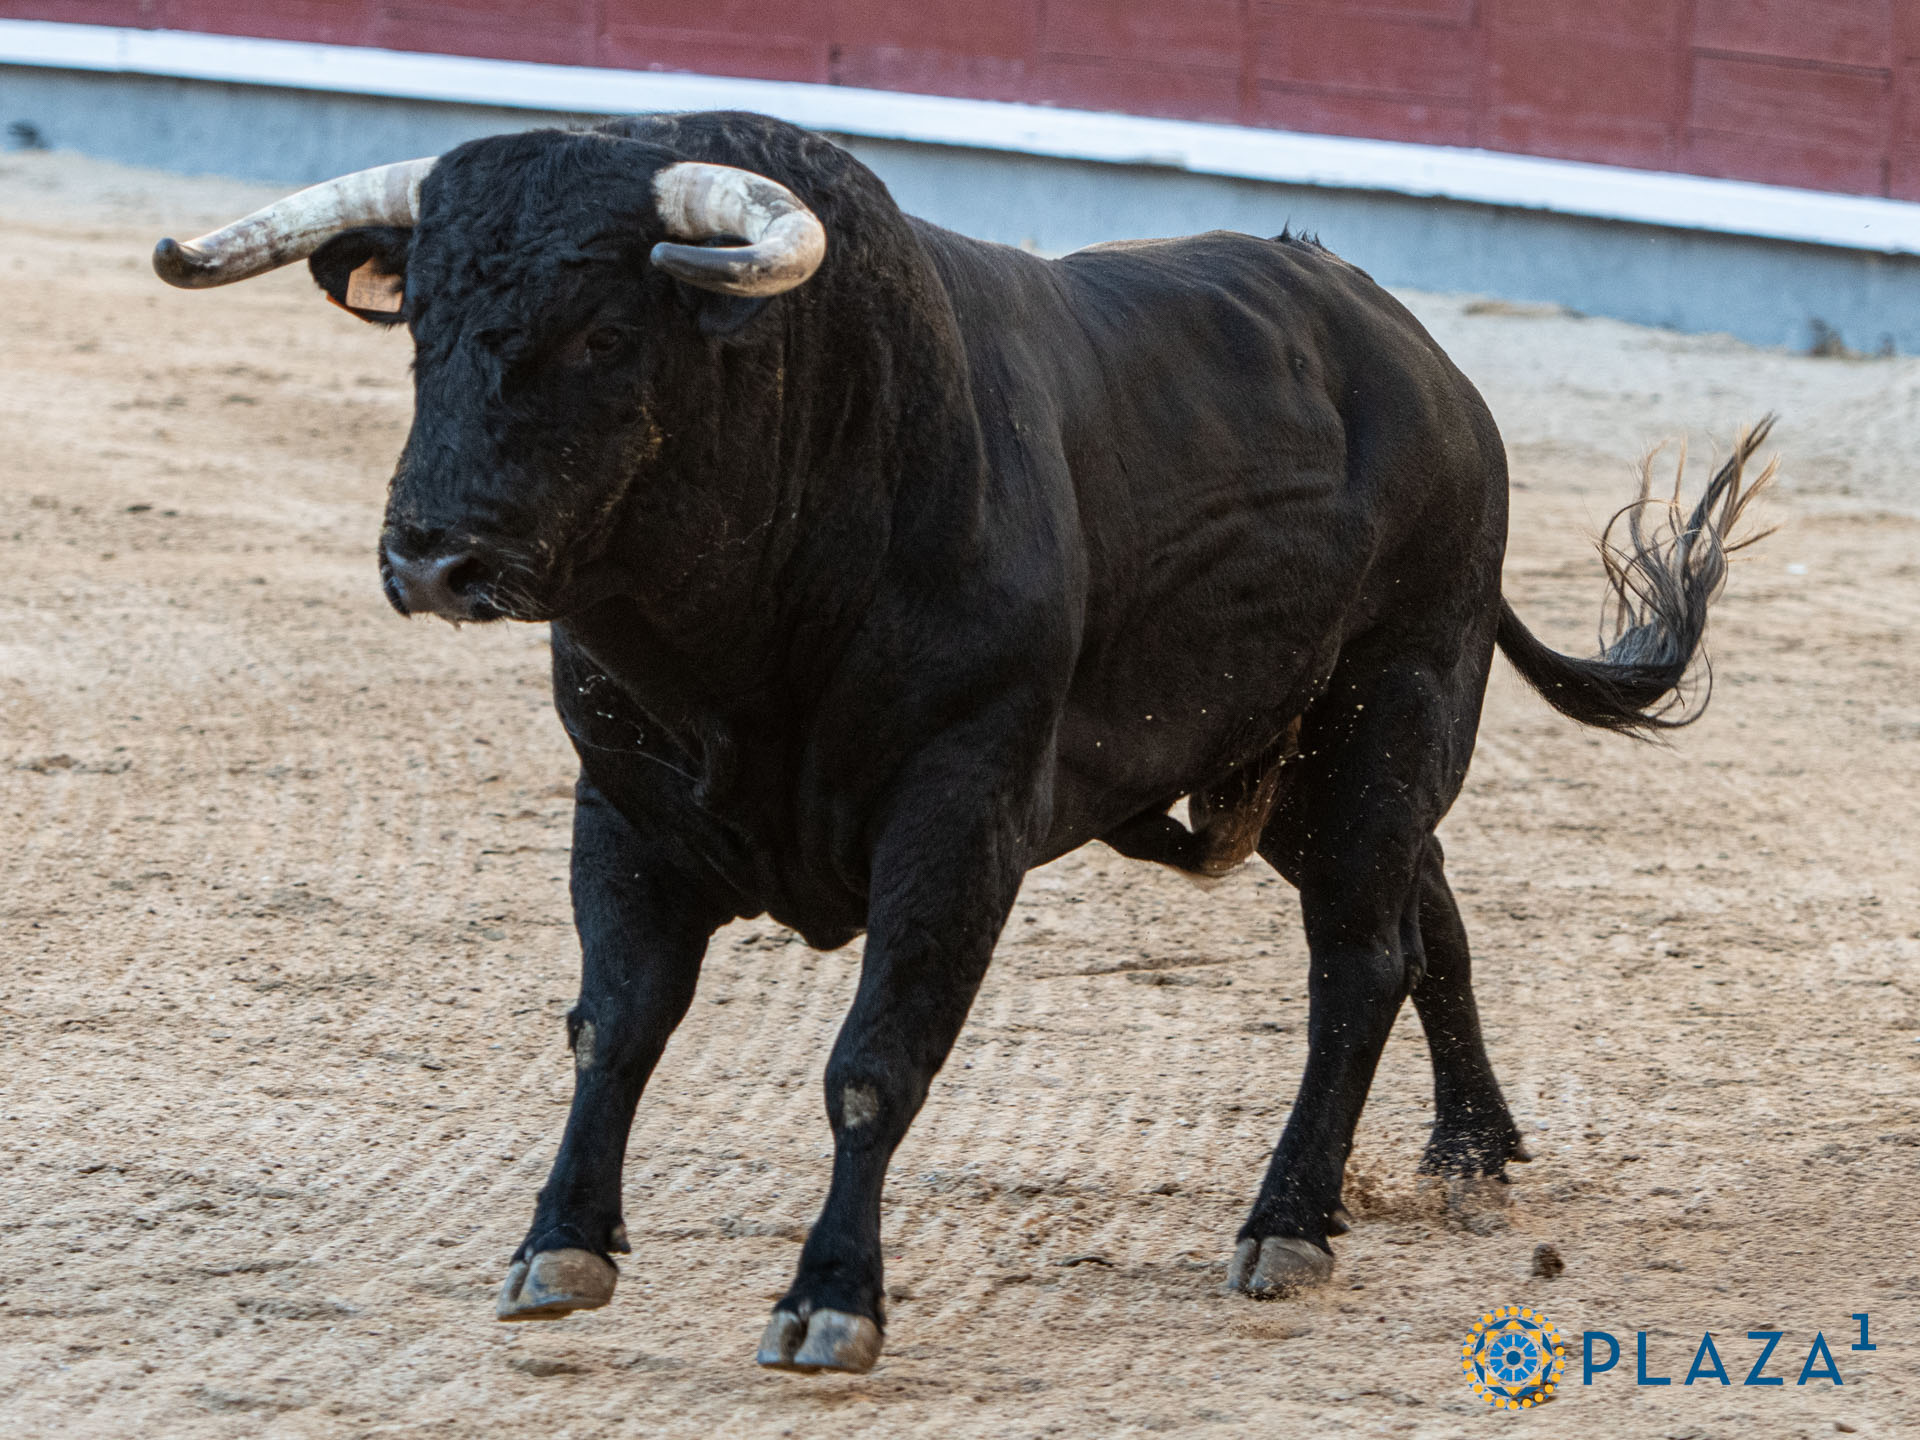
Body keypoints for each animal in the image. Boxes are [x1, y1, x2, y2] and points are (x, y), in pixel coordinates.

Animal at [153, 111, 1770, 1375]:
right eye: (420, 329)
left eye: (605, 333)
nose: (433, 557)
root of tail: (1420, 356)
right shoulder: (623, 807)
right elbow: (613, 1028)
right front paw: (557, 1250)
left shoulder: (958, 812)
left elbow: (875, 1061)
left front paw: (830, 1305)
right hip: (1311, 762)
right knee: (1427, 911)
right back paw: (1471, 1158)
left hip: (1397, 704)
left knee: (1360, 960)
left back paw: (1288, 1226)